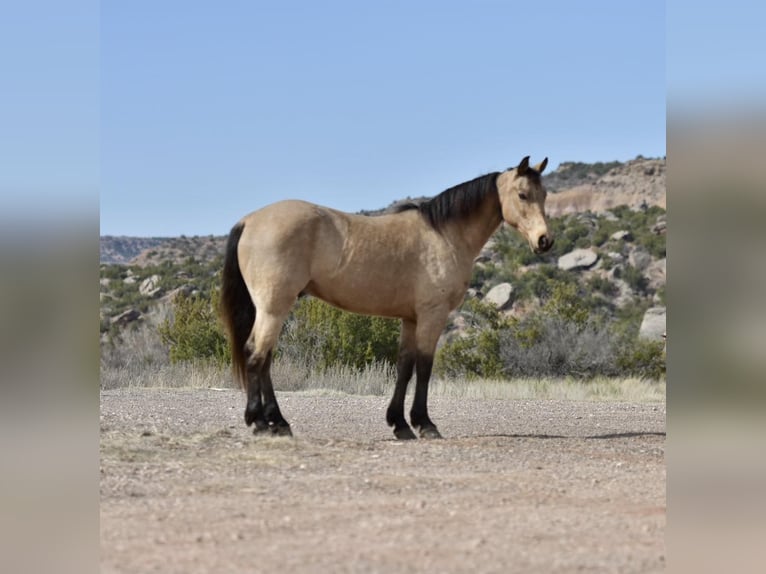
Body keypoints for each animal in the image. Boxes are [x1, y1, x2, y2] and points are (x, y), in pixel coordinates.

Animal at [220, 155, 552, 438]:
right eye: (523, 195)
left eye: (545, 195)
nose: (544, 241)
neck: (444, 235)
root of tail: (249, 220)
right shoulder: (433, 315)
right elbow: (424, 367)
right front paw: (425, 424)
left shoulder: (410, 319)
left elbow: (404, 367)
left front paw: (400, 424)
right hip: (274, 308)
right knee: (256, 354)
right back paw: (260, 423)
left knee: (265, 358)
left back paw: (278, 422)